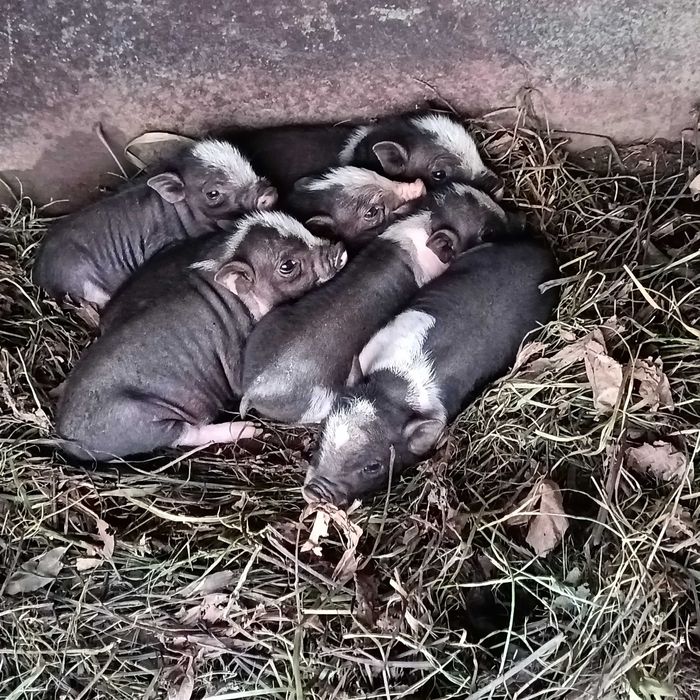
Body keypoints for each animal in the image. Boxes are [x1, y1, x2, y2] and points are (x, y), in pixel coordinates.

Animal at [54, 211, 346, 462]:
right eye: (288, 265)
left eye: (303, 227)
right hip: (139, 422)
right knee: (185, 434)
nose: (339, 249)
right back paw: (250, 430)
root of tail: (66, 437)